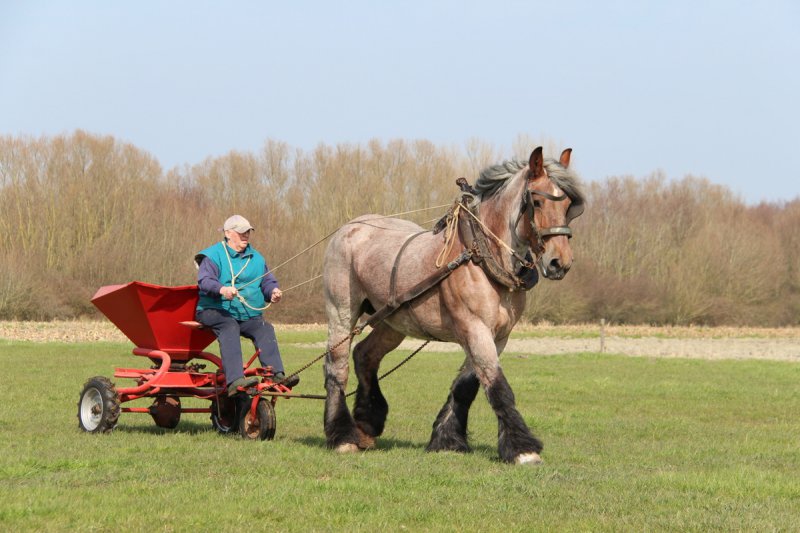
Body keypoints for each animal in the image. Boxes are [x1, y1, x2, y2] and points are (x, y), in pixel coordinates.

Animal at [321, 147, 585, 464]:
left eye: (568, 204)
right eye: (536, 201)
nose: (560, 263)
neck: (481, 255)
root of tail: (350, 227)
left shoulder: (497, 336)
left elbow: (467, 385)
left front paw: (446, 439)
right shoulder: (475, 328)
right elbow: (498, 386)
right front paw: (523, 448)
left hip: (393, 321)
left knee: (364, 355)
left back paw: (367, 424)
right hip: (341, 310)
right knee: (337, 365)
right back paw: (342, 436)